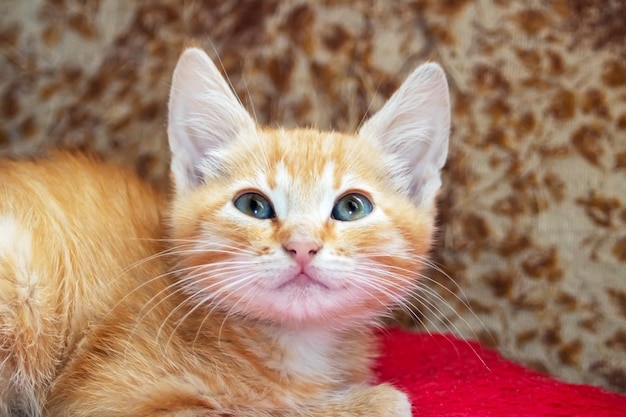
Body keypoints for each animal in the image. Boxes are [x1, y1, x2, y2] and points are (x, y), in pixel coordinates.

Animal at [0, 47, 448, 414]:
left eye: (352, 207)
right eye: (253, 206)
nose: (302, 246)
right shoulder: (103, 400)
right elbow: (250, 411)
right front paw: (363, 403)